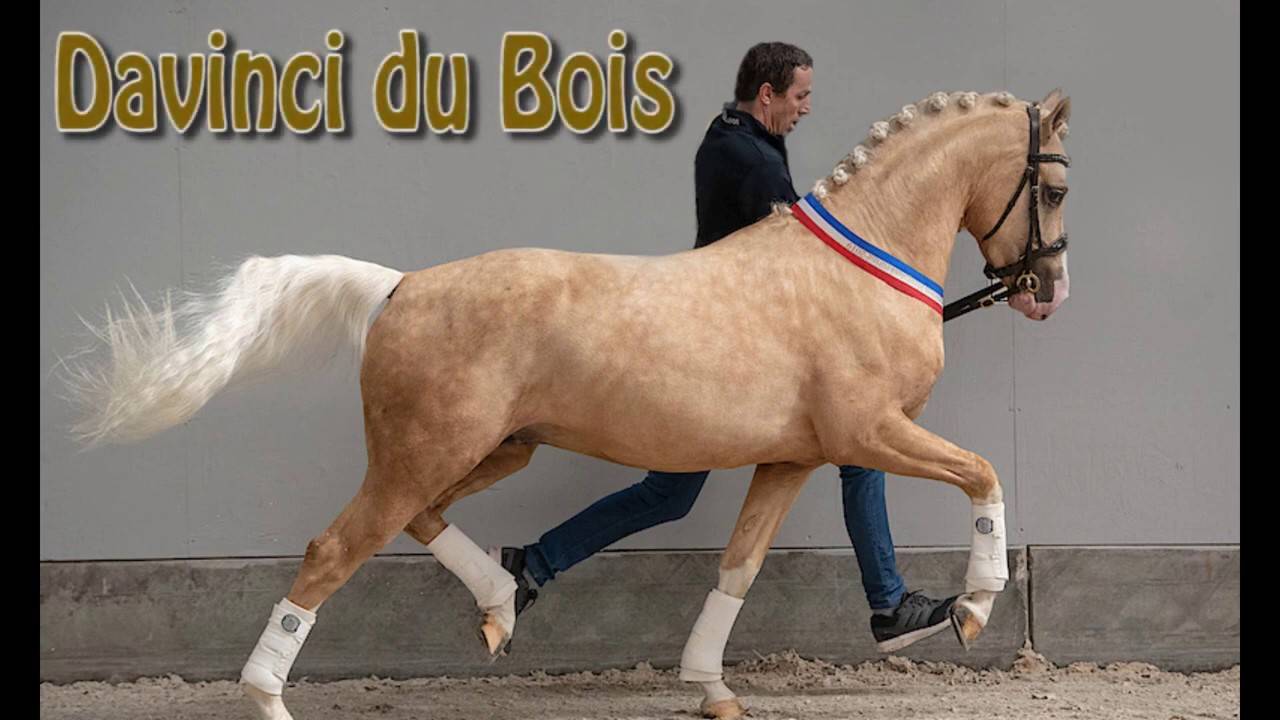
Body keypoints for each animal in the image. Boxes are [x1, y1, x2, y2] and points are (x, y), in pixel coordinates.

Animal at [60, 88, 1071, 719]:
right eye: (1056, 186)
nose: (1045, 290)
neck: (860, 261)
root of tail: (398, 286)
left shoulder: (792, 456)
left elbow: (738, 568)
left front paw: (712, 687)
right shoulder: (869, 432)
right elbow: (982, 472)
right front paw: (969, 607)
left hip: (486, 449)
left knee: (420, 522)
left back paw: (503, 605)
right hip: (426, 453)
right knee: (332, 550)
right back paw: (271, 693)